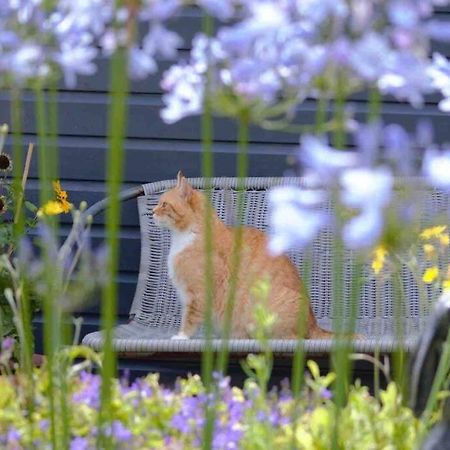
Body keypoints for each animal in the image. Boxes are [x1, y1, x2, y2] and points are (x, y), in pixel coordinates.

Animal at [153, 173, 332, 342]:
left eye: (164, 204)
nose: (152, 212)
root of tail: (313, 324)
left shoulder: (198, 293)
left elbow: (189, 320)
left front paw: (181, 336)